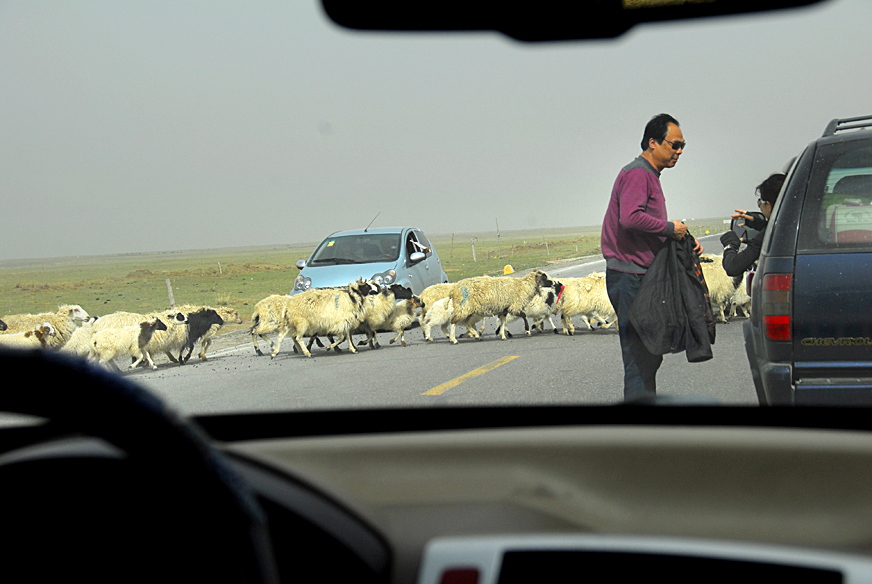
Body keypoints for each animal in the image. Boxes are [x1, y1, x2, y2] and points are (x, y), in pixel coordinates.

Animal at [250, 279, 380, 358]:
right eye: (367, 286)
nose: (378, 290)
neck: (352, 298)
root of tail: (257, 307)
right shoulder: (338, 322)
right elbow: (341, 337)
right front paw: (329, 347)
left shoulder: (340, 322)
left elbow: (345, 336)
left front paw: (352, 349)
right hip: (278, 322)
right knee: (256, 332)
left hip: (288, 324)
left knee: (281, 336)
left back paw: (274, 350)